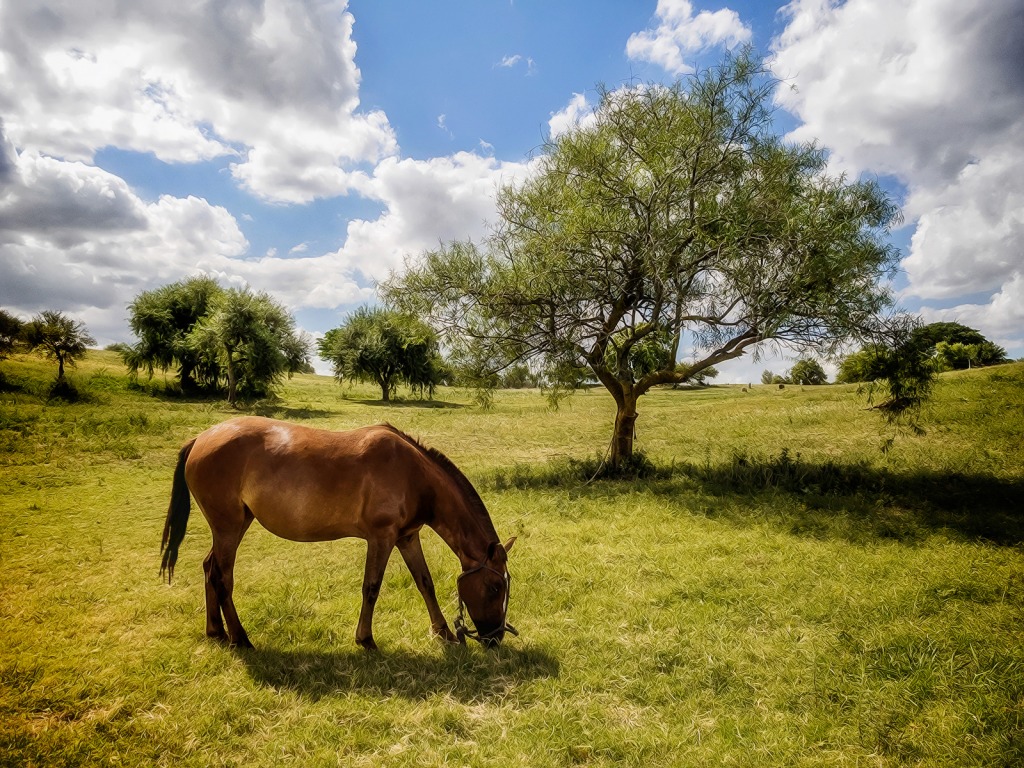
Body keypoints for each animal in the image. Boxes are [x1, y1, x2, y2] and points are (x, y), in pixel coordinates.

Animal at [160, 421, 516, 651]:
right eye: (495, 587)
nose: (495, 638)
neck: (414, 475)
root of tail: (200, 439)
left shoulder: (407, 537)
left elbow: (424, 582)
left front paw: (443, 633)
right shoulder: (382, 538)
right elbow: (371, 587)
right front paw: (366, 639)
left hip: (230, 527)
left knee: (210, 569)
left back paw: (216, 632)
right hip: (229, 528)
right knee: (222, 577)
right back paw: (239, 638)